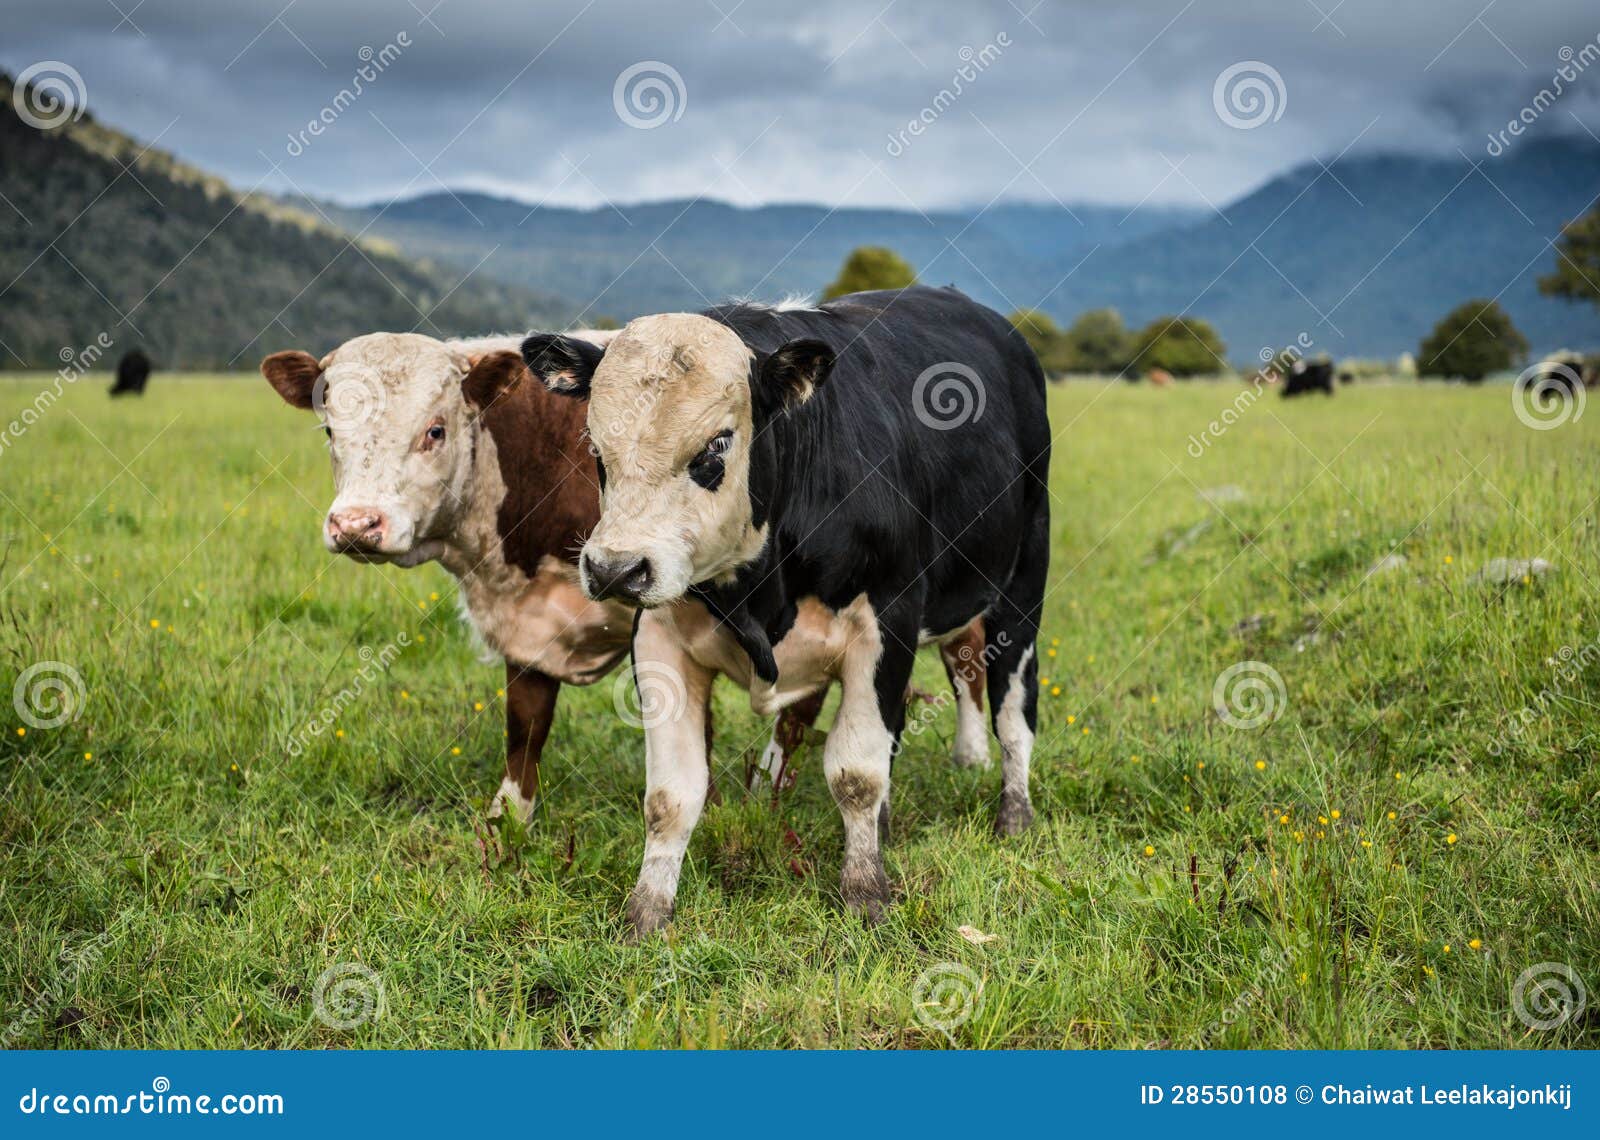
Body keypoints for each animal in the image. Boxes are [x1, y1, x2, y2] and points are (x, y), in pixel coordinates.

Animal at [261, 332, 990, 824]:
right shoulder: (533, 626)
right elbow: (526, 723)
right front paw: (509, 820)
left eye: (434, 431)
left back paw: (972, 759)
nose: (357, 524)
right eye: (329, 432)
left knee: (966, 661)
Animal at [521, 285, 1050, 938]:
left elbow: (855, 773)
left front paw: (865, 893)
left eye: (717, 444)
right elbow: (670, 795)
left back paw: (1014, 815)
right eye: (596, 447)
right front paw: (648, 912)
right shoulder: (658, 638)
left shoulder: (888, 623)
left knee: (1012, 708)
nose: (615, 569)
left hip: (1021, 589)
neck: (756, 591)